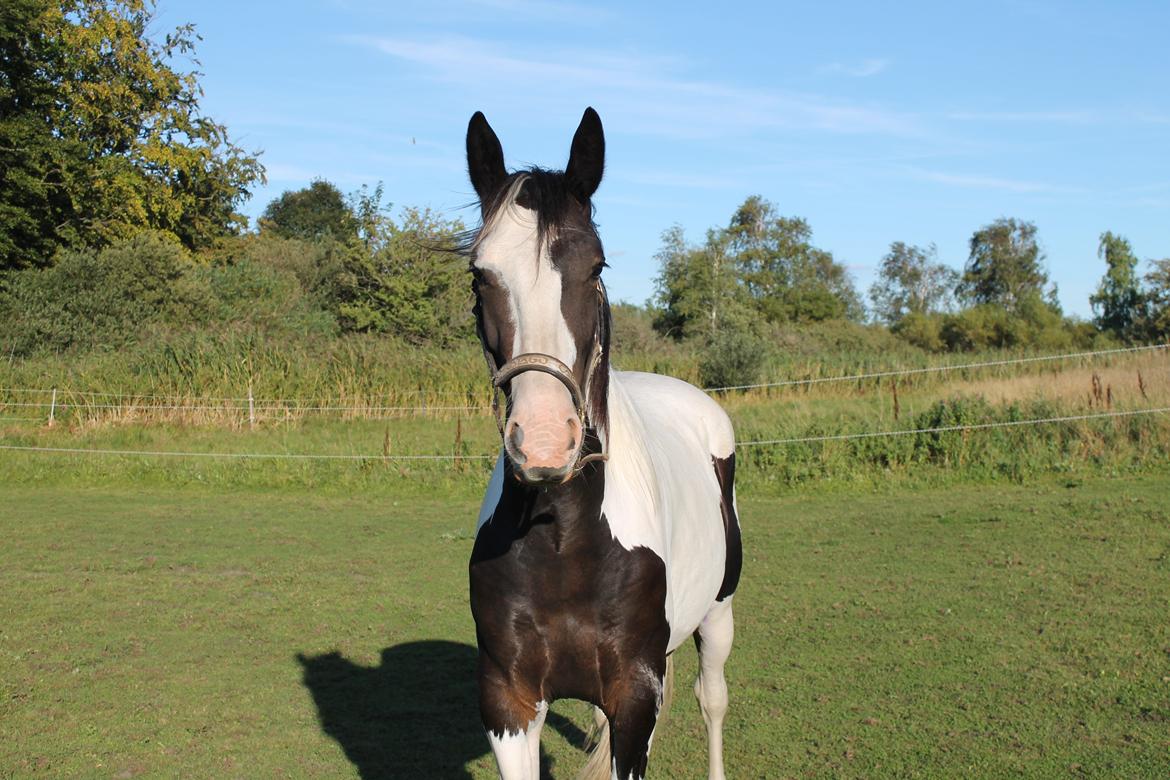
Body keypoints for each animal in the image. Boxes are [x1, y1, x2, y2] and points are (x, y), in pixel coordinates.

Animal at [465, 108, 739, 780]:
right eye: (479, 276)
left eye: (597, 268)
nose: (542, 442)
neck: (565, 538)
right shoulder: (507, 702)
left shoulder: (637, 695)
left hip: (718, 612)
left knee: (713, 698)